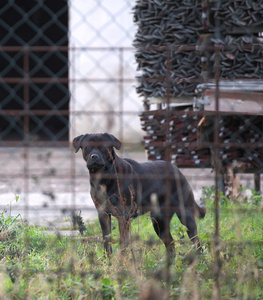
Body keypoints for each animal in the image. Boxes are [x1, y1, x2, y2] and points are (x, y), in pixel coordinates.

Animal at [73, 132, 207, 258]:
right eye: (87, 148)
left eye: (103, 147)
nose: (94, 156)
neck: (103, 178)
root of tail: (177, 170)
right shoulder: (103, 214)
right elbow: (107, 240)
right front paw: (109, 261)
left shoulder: (124, 216)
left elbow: (123, 241)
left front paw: (121, 261)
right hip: (159, 221)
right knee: (170, 243)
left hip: (185, 215)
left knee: (196, 241)